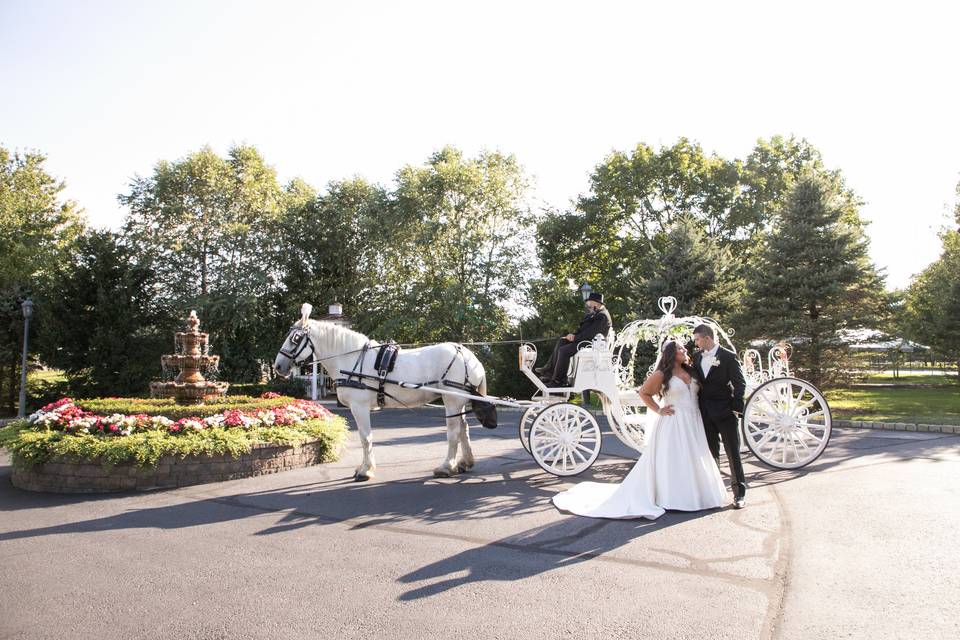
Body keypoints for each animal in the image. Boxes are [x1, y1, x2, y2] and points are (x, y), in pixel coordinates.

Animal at [276, 304, 488, 480]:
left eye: (295, 338)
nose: (278, 366)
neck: (352, 359)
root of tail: (469, 356)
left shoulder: (359, 407)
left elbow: (365, 437)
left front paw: (365, 470)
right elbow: (365, 438)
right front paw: (363, 467)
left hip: (452, 399)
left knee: (453, 432)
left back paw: (446, 467)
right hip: (459, 401)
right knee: (463, 429)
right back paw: (465, 462)